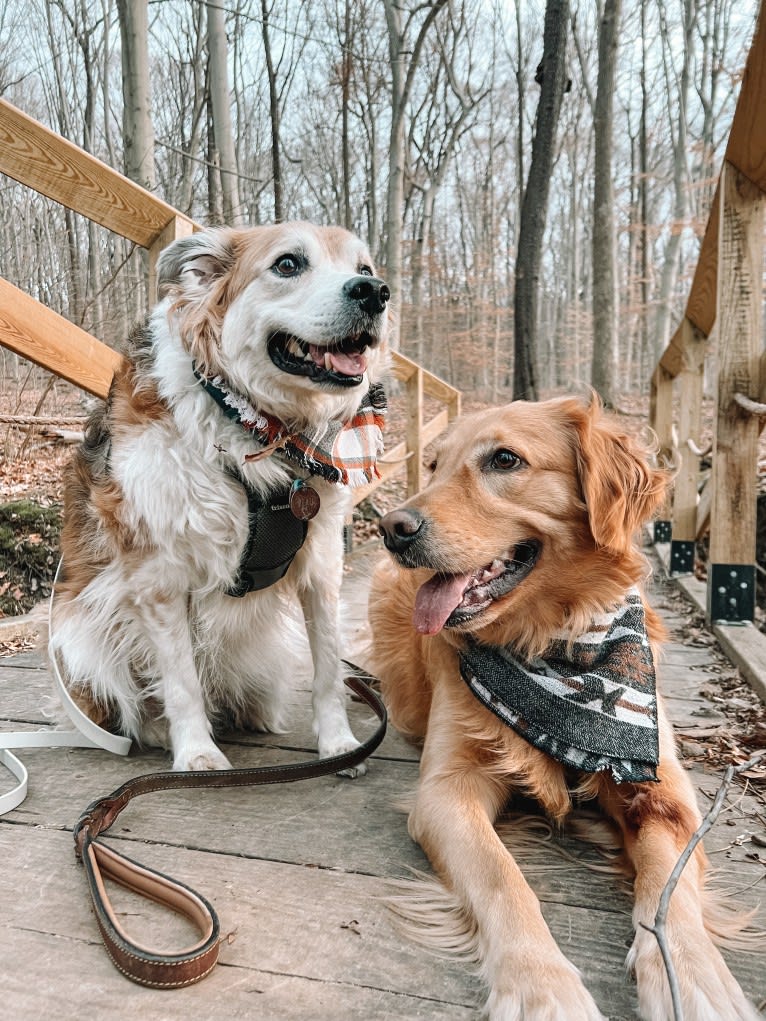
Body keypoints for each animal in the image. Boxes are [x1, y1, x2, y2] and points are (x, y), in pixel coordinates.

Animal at [49, 219, 390, 767]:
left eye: (364, 268)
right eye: (288, 264)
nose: (375, 292)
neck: (263, 430)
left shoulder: (321, 563)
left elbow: (328, 668)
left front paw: (338, 743)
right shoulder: (158, 575)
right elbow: (181, 679)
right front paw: (196, 754)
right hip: (82, 638)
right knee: (130, 704)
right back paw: (159, 731)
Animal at [369, 396, 759, 1021]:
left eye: (505, 459)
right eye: (432, 464)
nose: (391, 528)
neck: (550, 643)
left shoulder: (663, 790)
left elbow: (668, 891)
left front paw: (695, 977)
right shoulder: (446, 791)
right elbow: (503, 877)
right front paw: (541, 988)